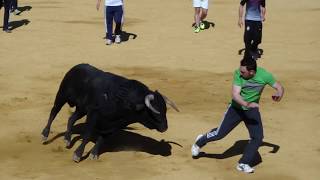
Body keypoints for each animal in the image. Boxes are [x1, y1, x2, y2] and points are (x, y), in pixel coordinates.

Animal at [41, 64, 179, 162]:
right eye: (154, 112)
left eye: (165, 109)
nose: (165, 128)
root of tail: (76, 67)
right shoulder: (94, 116)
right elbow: (87, 135)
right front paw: (77, 155)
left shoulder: (111, 126)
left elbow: (102, 139)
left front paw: (94, 154)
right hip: (61, 96)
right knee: (53, 113)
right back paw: (45, 135)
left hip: (81, 109)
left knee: (71, 118)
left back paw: (67, 139)